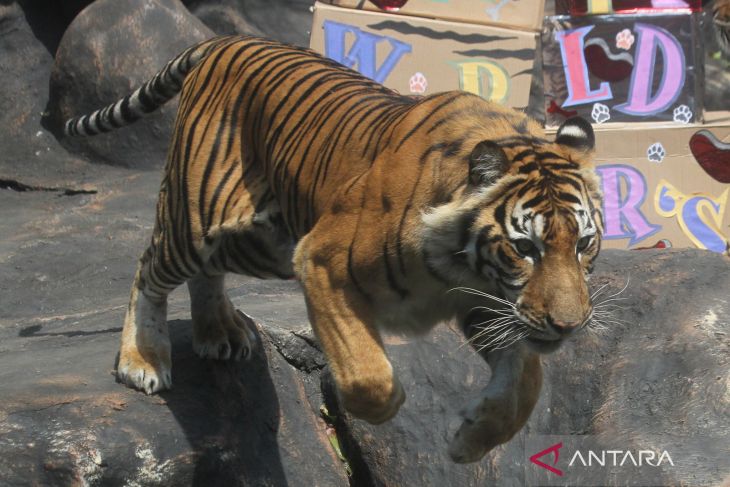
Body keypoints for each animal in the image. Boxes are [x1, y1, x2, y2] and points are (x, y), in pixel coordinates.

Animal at [65, 36, 604, 464]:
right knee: (148, 266)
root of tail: (226, 40)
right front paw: (385, 408)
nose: (568, 325)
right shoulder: (322, 261)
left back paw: (218, 330)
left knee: (205, 272)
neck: (463, 268)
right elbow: (368, 374)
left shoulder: (487, 304)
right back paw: (142, 359)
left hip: (261, 243)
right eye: (524, 247)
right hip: (197, 218)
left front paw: (467, 442)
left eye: (583, 244)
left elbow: (525, 388)